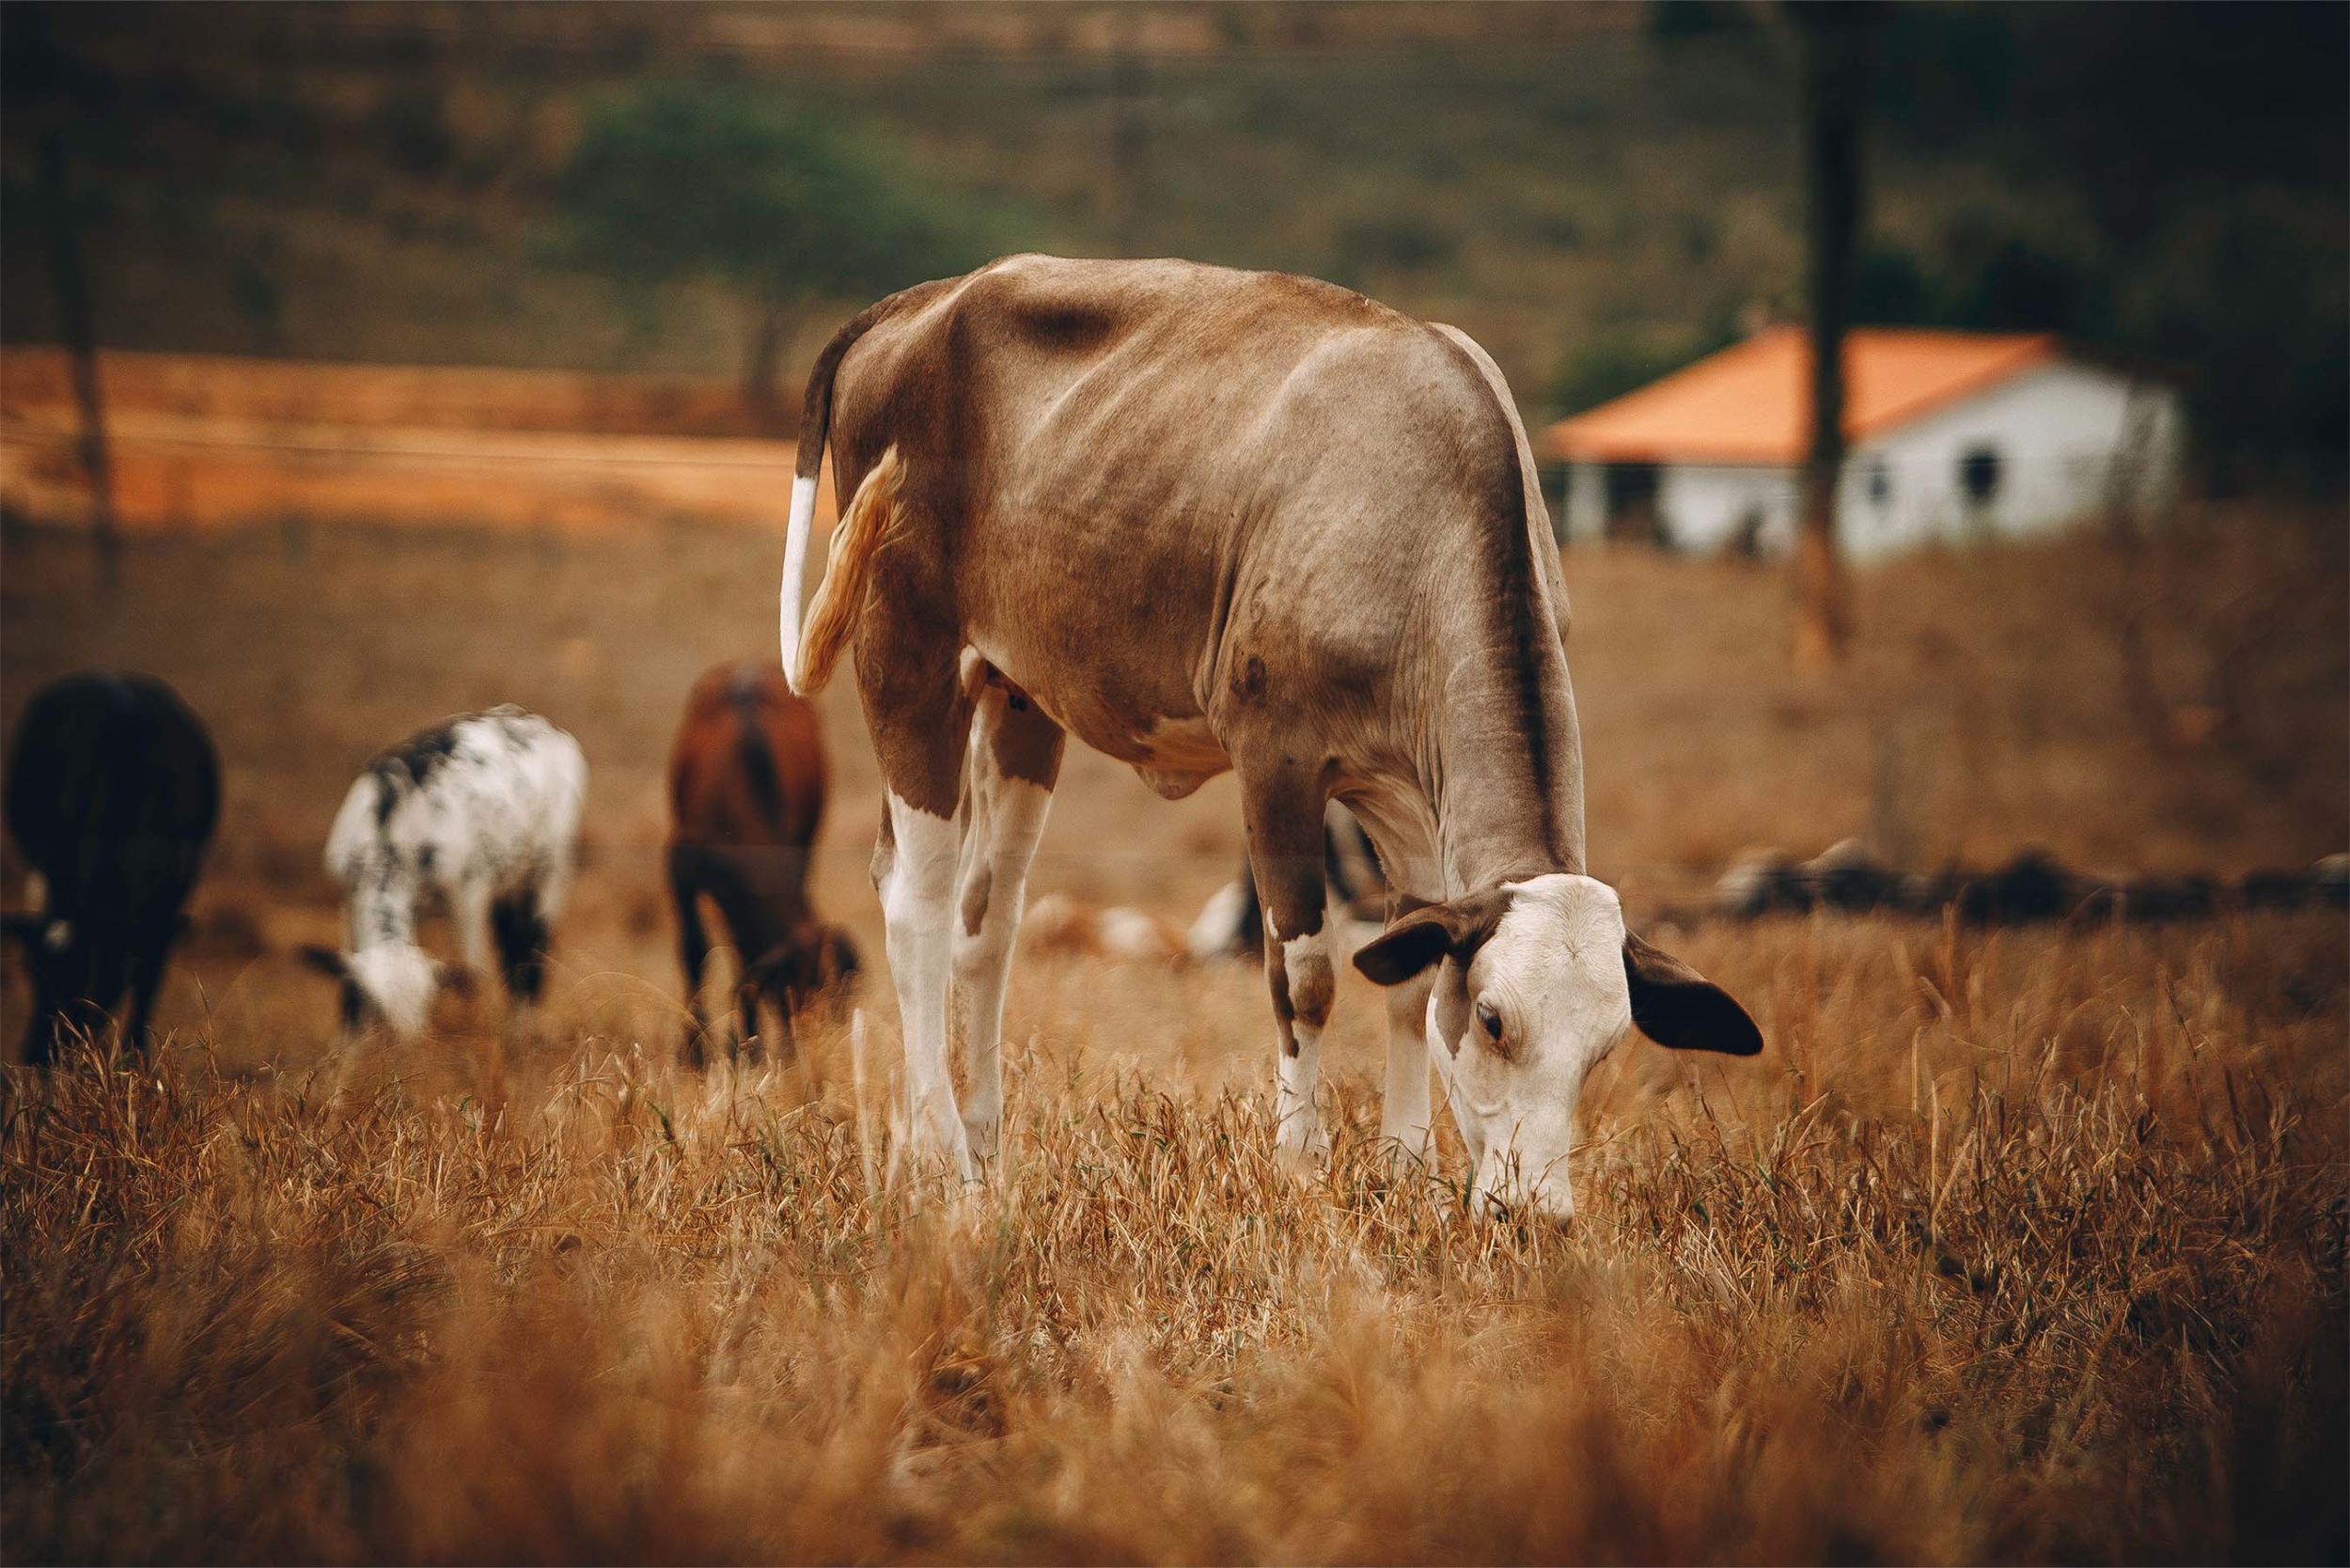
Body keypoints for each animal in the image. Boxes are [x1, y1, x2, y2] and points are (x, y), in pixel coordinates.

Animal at [2, 677, 221, 1067]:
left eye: (86, 978)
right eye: (30, 971)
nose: (39, 1053)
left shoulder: (171, 901)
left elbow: (148, 977)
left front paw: (136, 1057)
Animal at [301, 705, 585, 1034]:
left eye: (425, 1008)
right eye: (380, 1011)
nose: (406, 1043)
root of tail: (535, 722)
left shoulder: (468, 893)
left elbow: (470, 974)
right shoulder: (349, 896)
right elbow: (349, 989)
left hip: (550, 867)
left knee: (534, 945)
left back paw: (521, 1028)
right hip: (506, 879)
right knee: (511, 945)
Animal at [667, 658, 860, 1072]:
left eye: (830, 998)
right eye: (790, 989)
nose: (802, 1047)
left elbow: (745, 953)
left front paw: (746, 1047)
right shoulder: (679, 863)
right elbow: (694, 950)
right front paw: (693, 1052)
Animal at [780, 251, 1758, 1222]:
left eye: (1605, 1048)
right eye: (1494, 1019)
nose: (1536, 1214)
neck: (1422, 515)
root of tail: (930, 297)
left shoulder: (1406, 798)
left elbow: (1404, 979)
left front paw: (1406, 1172)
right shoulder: (1277, 763)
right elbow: (1308, 977)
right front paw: (1299, 1167)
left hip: (1018, 697)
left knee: (985, 918)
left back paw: (977, 1156)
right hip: (904, 654)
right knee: (916, 902)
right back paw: (938, 1158)